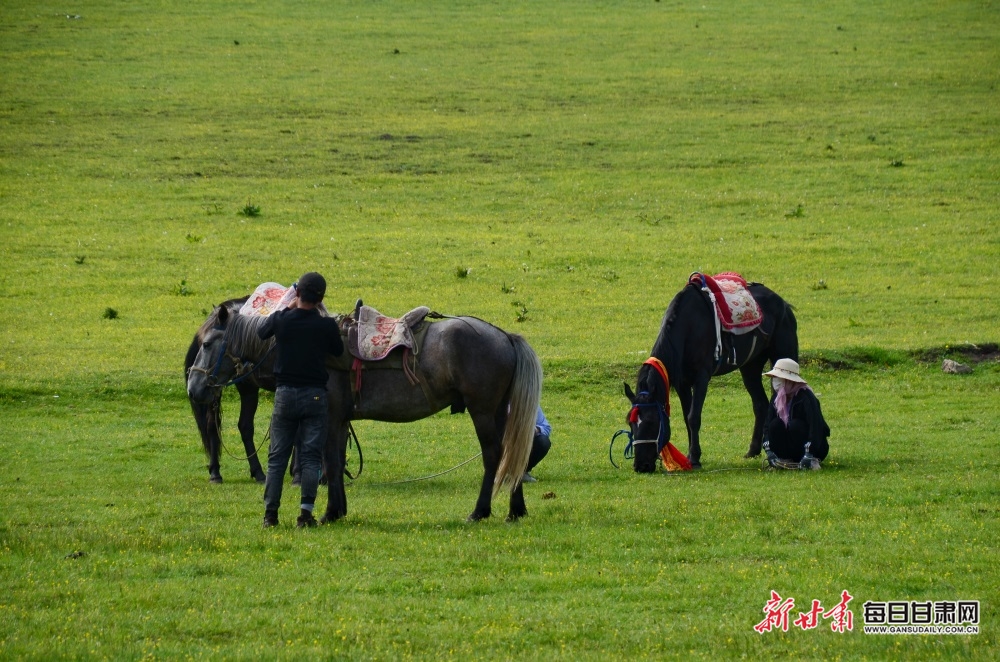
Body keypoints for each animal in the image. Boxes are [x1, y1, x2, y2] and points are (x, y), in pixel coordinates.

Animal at [188, 306, 548, 524]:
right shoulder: (339, 420)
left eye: (207, 344)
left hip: (483, 411)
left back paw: (480, 511)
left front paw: (329, 513)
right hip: (499, 412)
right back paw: (515, 510)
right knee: (512, 453)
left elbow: (331, 464)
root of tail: (504, 336)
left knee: (494, 456)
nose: (193, 388)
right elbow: (335, 463)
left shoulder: (330, 418)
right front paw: (338, 509)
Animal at [620, 274, 800, 472]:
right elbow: (687, 417)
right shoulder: (682, 383)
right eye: (630, 422)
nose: (641, 465)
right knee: (760, 404)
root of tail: (783, 304)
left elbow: (694, 417)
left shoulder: (701, 378)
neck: (688, 328)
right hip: (750, 367)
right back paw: (753, 450)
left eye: (651, 421)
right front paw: (690, 456)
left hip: (783, 357)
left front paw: (695, 458)